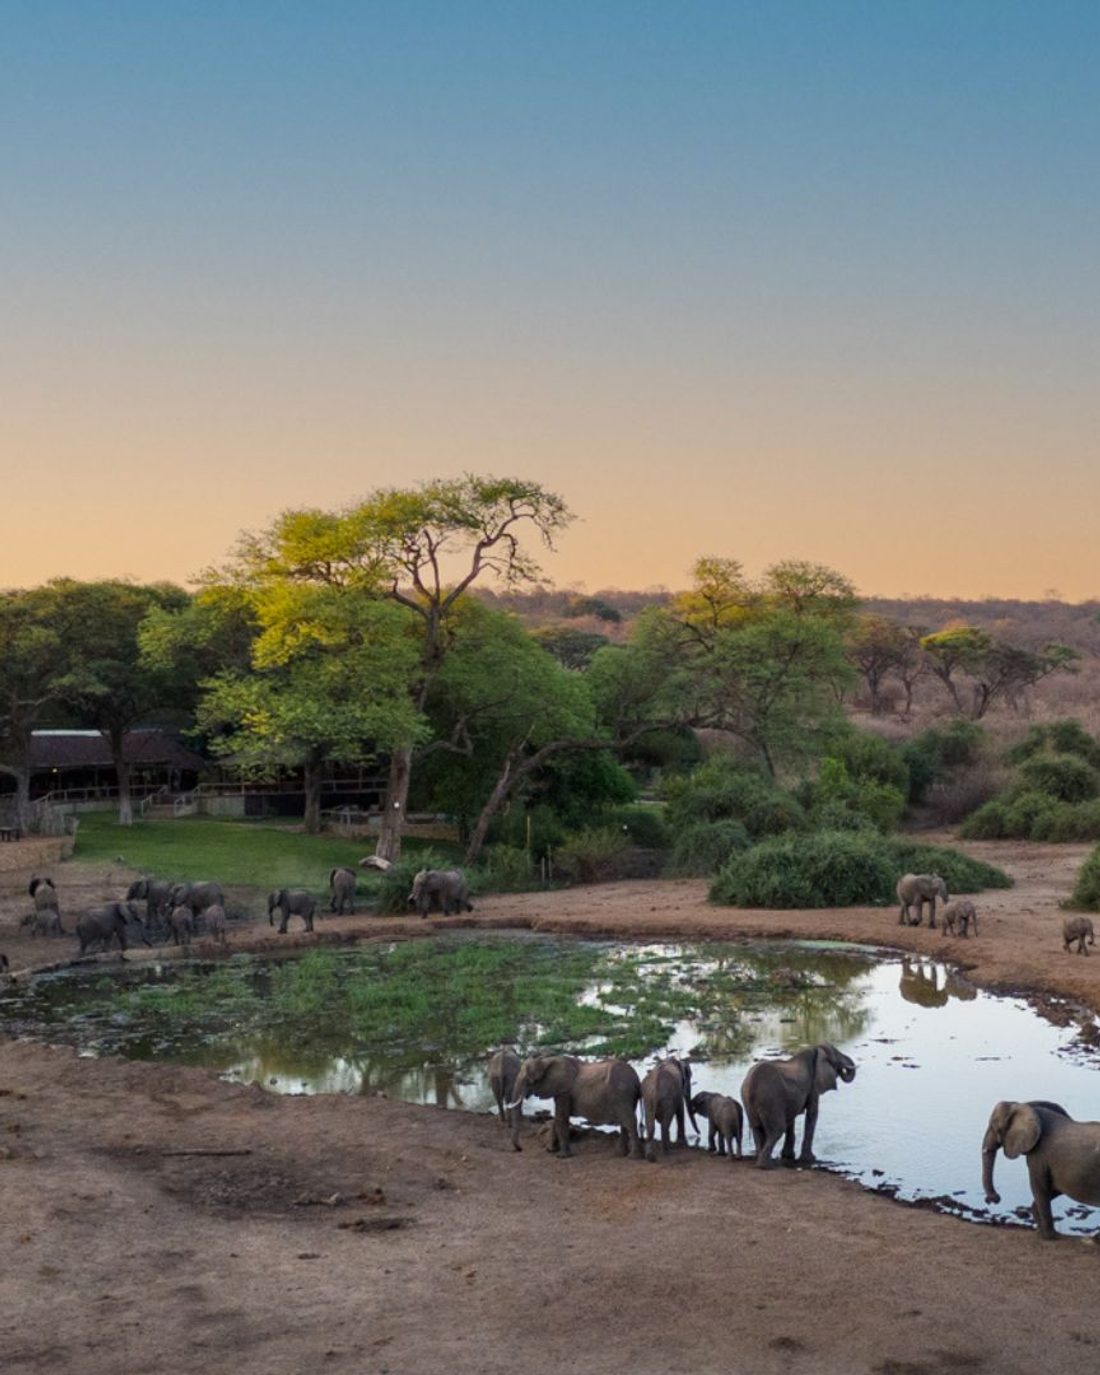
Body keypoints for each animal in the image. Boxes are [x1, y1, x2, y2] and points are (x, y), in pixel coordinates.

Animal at [506, 1054, 643, 1159]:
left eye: (529, 1081)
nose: (520, 1149)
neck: (547, 1061)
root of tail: (636, 1079)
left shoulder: (564, 1091)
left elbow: (561, 1118)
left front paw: (561, 1156)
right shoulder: (560, 1090)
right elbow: (557, 1119)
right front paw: (551, 1150)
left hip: (622, 1093)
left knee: (629, 1121)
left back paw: (633, 1157)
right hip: (625, 1096)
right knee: (624, 1122)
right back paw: (620, 1154)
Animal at [981, 1100, 1100, 1240]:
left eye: (994, 1126)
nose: (994, 1199)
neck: (1024, 1106)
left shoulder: (1040, 1155)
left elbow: (1039, 1187)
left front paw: (1049, 1236)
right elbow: (1053, 1189)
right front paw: (1040, 1231)